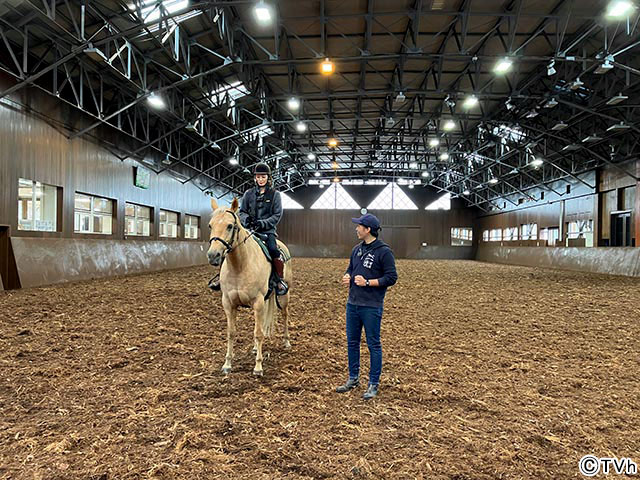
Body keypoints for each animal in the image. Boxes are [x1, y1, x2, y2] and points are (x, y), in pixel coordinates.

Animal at [208, 197, 292, 376]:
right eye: (210, 225)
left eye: (230, 226)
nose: (213, 256)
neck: (240, 265)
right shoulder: (228, 304)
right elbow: (231, 333)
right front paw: (227, 364)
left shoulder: (258, 303)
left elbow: (258, 333)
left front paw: (258, 367)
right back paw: (254, 349)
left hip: (284, 296)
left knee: (285, 315)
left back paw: (286, 342)